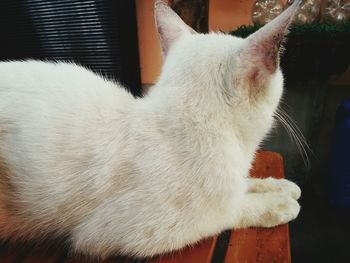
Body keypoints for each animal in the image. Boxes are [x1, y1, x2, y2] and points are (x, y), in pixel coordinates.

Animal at [0, 0, 300, 260]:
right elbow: (229, 211)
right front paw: (280, 204)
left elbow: (247, 183)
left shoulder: (235, 180)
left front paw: (280, 186)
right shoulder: (107, 235)